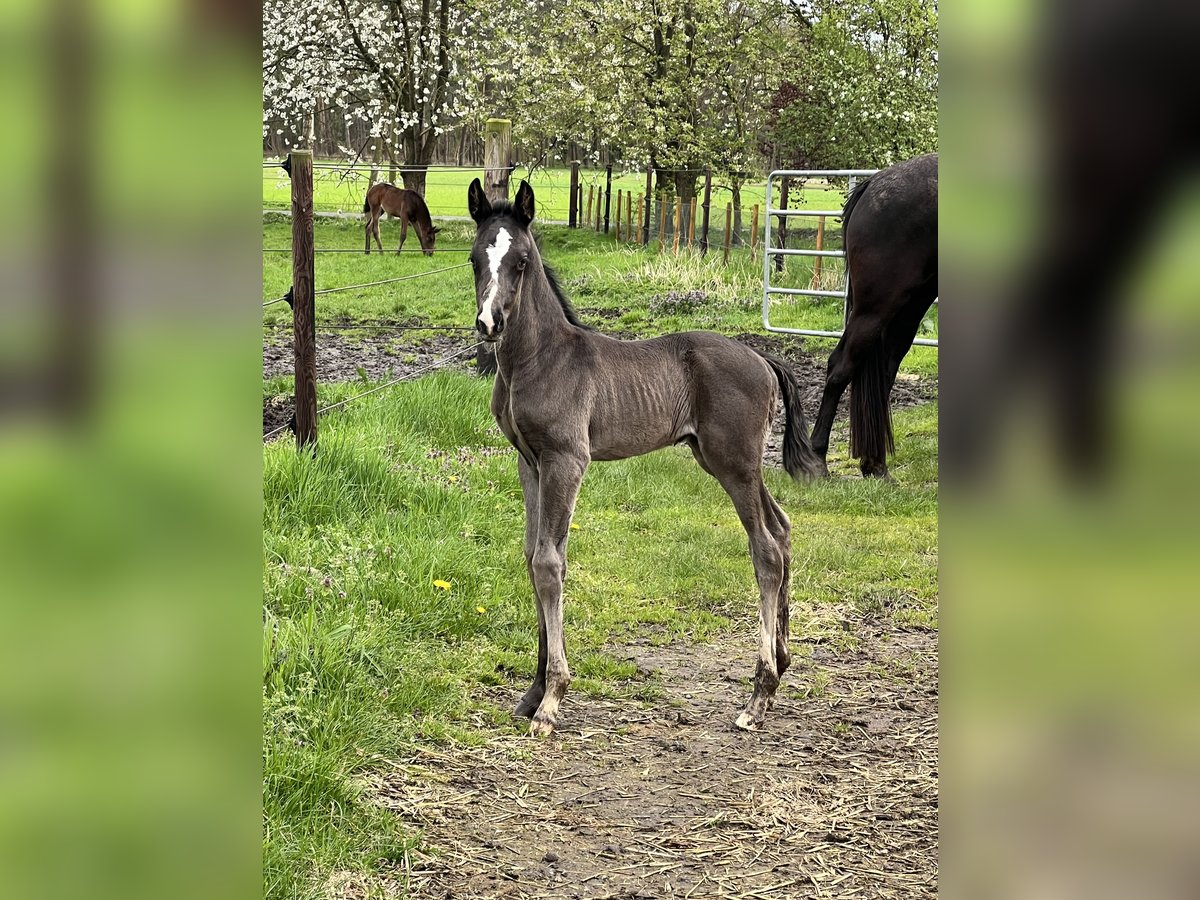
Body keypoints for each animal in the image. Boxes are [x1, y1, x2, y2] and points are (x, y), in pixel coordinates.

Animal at [468, 177, 825, 739]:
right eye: (475, 259)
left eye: (522, 261)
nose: (490, 322)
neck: (540, 358)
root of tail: (763, 357)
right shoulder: (529, 461)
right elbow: (531, 556)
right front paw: (531, 692)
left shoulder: (567, 460)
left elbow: (550, 563)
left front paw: (551, 701)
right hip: (725, 460)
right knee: (783, 529)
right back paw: (781, 669)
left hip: (734, 463)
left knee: (766, 549)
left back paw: (758, 697)